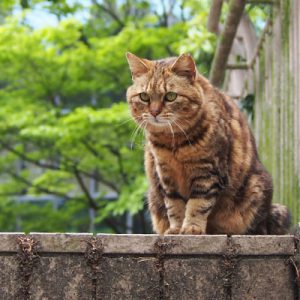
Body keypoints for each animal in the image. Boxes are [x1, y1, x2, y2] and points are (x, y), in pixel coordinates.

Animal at [126, 52, 290, 234]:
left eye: (170, 96)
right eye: (144, 96)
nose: (154, 112)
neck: (173, 143)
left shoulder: (208, 172)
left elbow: (198, 204)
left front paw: (191, 227)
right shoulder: (166, 175)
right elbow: (174, 206)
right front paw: (176, 228)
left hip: (257, 191)